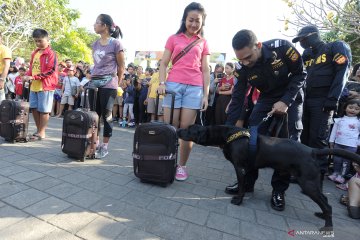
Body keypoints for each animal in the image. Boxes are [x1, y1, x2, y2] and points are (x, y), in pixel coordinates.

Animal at [176, 124, 360, 231]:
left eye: (189, 129)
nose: (177, 130)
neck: (227, 135)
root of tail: (312, 151)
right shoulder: (249, 168)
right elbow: (247, 182)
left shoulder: (240, 168)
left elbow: (242, 186)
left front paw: (238, 200)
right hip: (312, 182)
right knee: (326, 202)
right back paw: (322, 215)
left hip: (307, 183)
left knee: (327, 204)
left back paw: (328, 226)